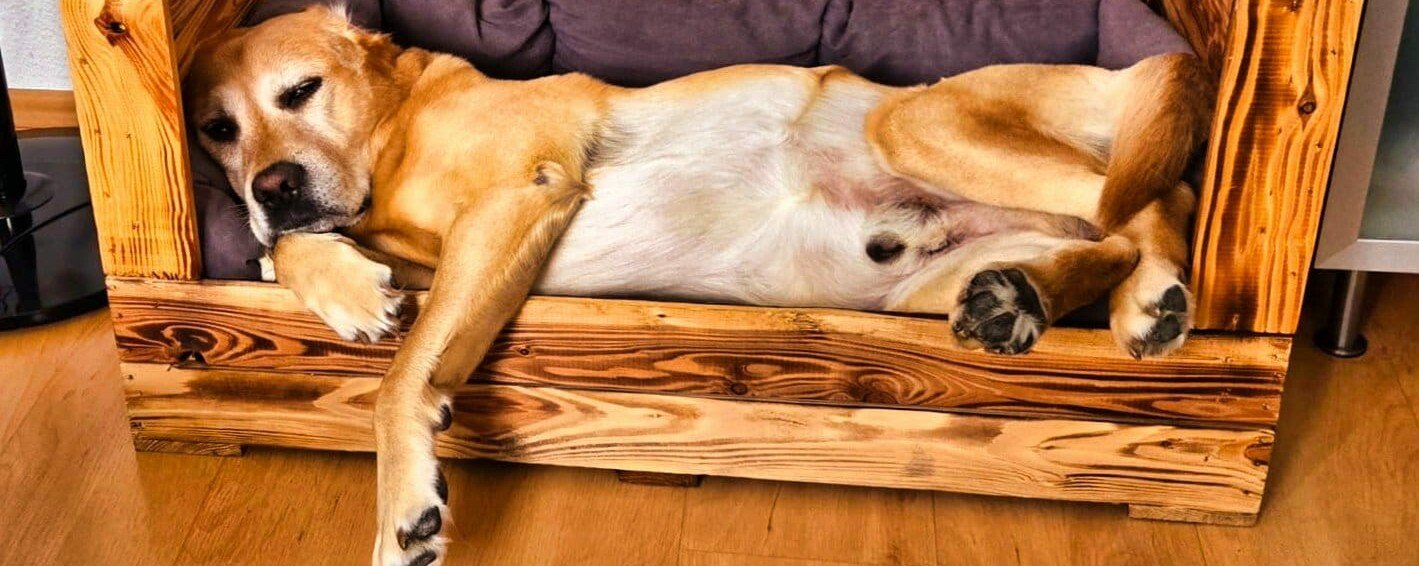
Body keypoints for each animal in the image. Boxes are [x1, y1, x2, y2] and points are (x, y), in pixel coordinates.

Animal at [186, 6, 1211, 565]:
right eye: (215, 129)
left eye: (301, 91)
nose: (272, 188)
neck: (397, 133)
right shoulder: (443, 248)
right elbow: (292, 255)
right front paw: (347, 285)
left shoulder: (518, 198)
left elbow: (402, 380)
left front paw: (405, 509)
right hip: (926, 278)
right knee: (1092, 240)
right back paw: (1024, 303)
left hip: (919, 126)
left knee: (1152, 201)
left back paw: (1153, 302)